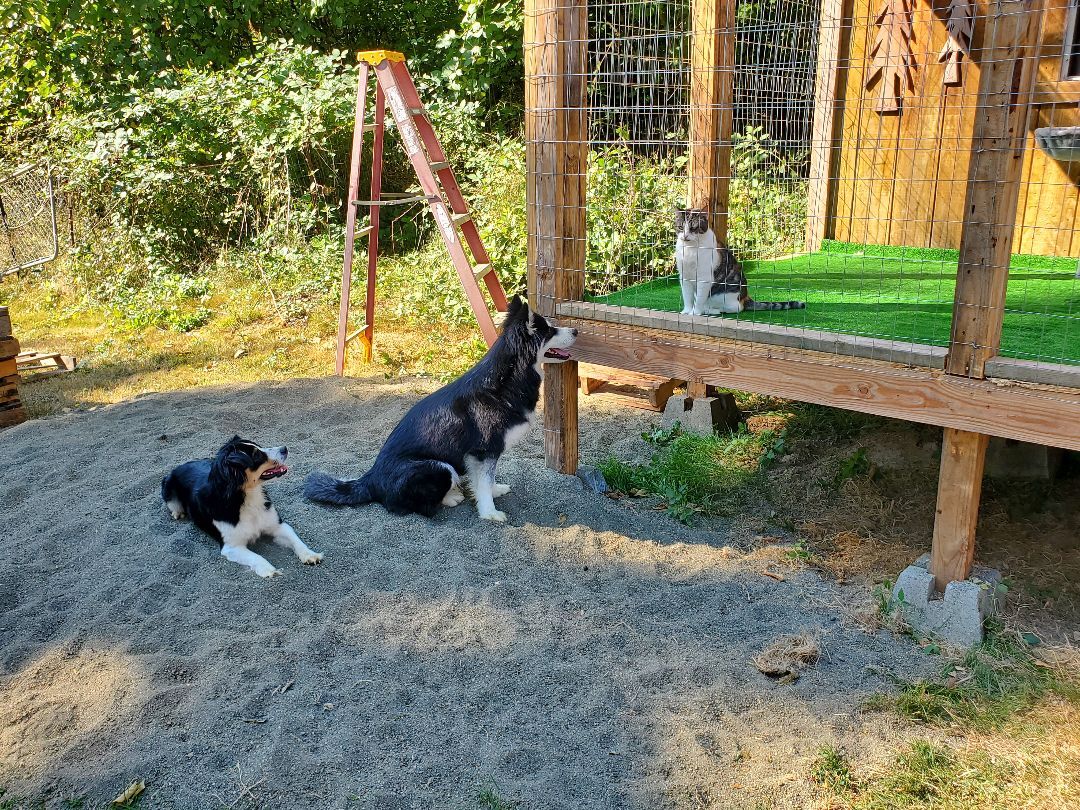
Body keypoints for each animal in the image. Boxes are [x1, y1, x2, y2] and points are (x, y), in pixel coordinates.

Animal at [158, 438, 319, 578]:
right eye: (256, 455)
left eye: (259, 446)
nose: (284, 448)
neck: (246, 497)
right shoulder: (232, 546)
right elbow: (256, 557)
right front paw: (269, 570)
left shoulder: (277, 526)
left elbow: (296, 539)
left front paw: (311, 555)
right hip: (168, 486)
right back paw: (178, 512)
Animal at [304, 295, 578, 520]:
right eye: (550, 330)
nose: (576, 330)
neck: (504, 381)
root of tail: (370, 478)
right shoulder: (484, 451)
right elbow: (484, 481)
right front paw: (489, 513)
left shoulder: (481, 456)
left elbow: (484, 482)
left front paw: (493, 491)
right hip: (439, 467)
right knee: (415, 508)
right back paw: (451, 497)